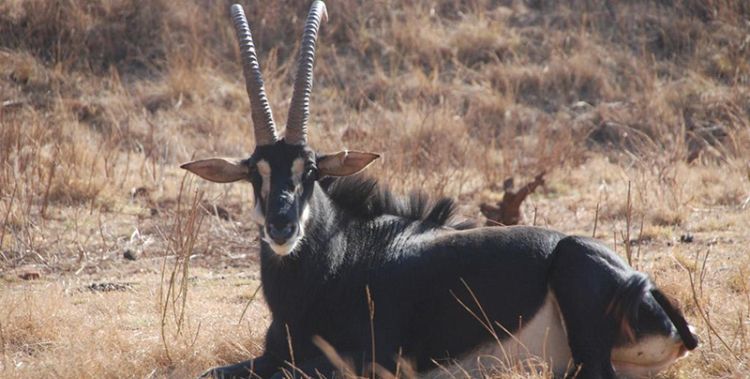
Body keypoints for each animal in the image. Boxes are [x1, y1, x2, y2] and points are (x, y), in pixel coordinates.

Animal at [182, 1, 700, 378]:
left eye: (309, 170)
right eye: (255, 173)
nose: (281, 226)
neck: (338, 257)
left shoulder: (366, 362)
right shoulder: (271, 356)